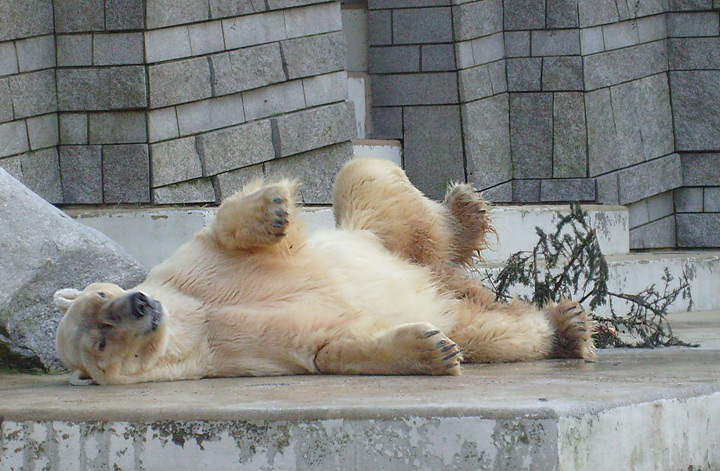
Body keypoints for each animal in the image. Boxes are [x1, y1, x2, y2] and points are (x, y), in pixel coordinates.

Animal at [54, 159, 596, 388]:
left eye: (101, 292)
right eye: (101, 341)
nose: (140, 303)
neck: (196, 319)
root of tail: (446, 277)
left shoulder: (188, 270)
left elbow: (223, 230)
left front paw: (271, 208)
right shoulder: (239, 355)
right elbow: (328, 349)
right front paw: (432, 350)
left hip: (380, 235)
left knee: (367, 179)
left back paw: (466, 208)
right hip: (458, 306)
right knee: (497, 332)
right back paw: (568, 328)